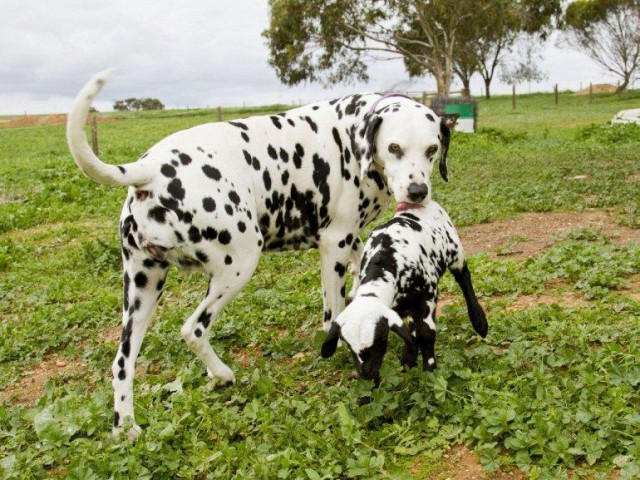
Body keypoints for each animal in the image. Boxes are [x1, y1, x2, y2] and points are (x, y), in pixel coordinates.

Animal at [66, 69, 450, 440]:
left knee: (122, 362)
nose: (418, 191)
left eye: (432, 149)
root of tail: (150, 168)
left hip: (142, 288)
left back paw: (126, 426)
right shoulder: (335, 244)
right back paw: (221, 374)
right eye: (394, 147)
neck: (353, 133)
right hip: (239, 264)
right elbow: (333, 314)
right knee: (193, 330)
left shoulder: (352, 241)